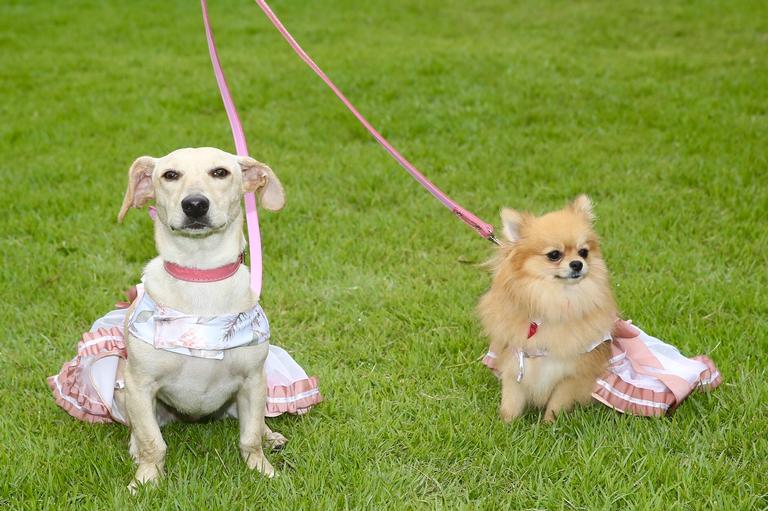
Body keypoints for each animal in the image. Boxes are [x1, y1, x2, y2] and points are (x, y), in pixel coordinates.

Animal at [118, 147, 286, 488]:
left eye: (220, 172)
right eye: (170, 175)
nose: (195, 204)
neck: (201, 279)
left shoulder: (252, 380)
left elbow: (249, 437)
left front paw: (262, 470)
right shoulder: (139, 385)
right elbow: (153, 442)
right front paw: (146, 480)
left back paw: (270, 435)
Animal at [480, 194, 616, 422]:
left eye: (584, 252)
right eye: (554, 255)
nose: (577, 263)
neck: (555, 299)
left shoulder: (570, 374)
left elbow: (556, 404)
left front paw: (549, 424)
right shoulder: (515, 364)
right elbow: (511, 401)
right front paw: (506, 423)